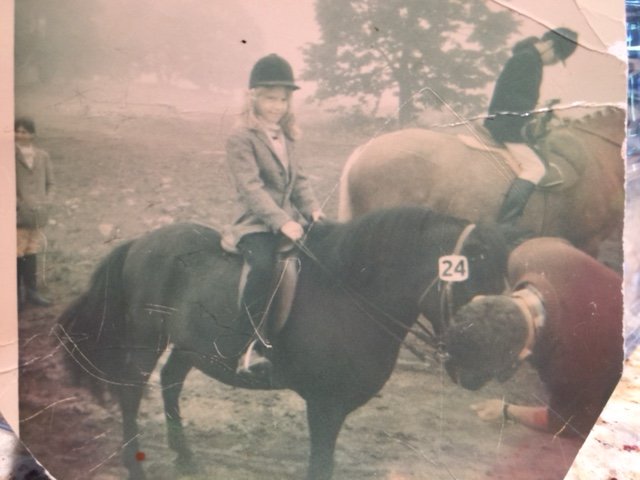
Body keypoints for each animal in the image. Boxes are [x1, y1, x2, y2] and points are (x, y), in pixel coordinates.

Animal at [56, 209, 510, 480]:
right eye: (470, 285)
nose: (480, 372)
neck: (351, 295)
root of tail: (140, 242)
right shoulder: (324, 406)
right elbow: (320, 464)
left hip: (190, 345)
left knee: (171, 381)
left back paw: (185, 456)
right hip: (145, 340)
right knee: (132, 393)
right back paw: (135, 465)